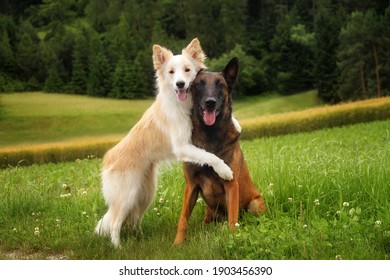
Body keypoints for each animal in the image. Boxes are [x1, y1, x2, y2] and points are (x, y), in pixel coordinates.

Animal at [95, 38, 235, 247]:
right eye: (171, 72)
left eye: (187, 70)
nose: (180, 84)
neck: (183, 104)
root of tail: (108, 160)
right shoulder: (183, 147)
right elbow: (210, 156)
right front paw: (225, 170)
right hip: (127, 196)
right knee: (114, 224)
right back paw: (119, 247)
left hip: (145, 194)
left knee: (135, 220)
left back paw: (140, 238)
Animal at [175, 57, 266, 245]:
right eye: (200, 84)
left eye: (220, 84)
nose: (210, 102)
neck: (210, 135)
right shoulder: (191, 185)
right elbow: (183, 218)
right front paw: (177, 244)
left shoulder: (231, 185)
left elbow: (232, 220)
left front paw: (233, 240)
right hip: (209, 211)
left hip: (255, 204)